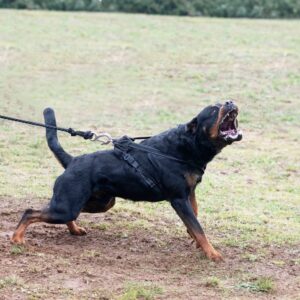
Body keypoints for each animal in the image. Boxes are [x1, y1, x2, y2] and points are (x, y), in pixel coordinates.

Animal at [11, 100, 241, 260]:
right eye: (214, 109)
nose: (230, 101)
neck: (187, 147)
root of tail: (72, 161)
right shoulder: (178, 198)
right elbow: (198, 227)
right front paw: (212, 254)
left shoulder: (189, 192)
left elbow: (195, 219)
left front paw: (197, 243)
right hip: (69, 205)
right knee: (30, 212)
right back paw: (17, 239)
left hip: (98, 202)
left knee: (63, 214)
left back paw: (74, 230)